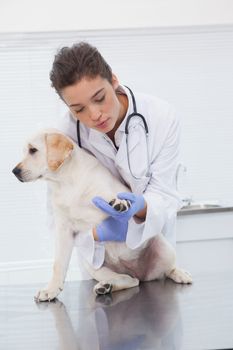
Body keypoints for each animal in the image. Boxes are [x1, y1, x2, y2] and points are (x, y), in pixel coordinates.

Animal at [11, 130, 192, 302]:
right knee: (131, 281)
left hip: (165, 248)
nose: (14, 171)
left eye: (33, 150)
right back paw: (106, 286)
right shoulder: (63, 230)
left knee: (167, 269)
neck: (65, 183)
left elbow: (121, 200)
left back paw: (180, 274)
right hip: (92, 265)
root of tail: (139, 273)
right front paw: (51, 290)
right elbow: (58, 265)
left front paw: (121, 203)